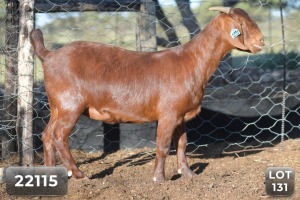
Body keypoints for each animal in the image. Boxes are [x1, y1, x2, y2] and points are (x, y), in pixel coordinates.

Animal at [30, 6, 264, 181]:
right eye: (241, 24)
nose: (261, 41)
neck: (192, 62)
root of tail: (49, 56)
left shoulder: (181, 114)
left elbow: (182, 144)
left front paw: (187, 174)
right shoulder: (168, 113)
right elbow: (162, 146)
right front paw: (159, 178)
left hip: (57, 105)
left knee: (47, 134)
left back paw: (51, 174)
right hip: (70, 104)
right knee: (59, 136)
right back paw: (79, 174)